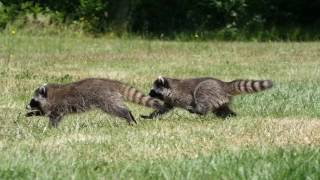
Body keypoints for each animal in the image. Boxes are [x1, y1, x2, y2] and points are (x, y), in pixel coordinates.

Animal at [26, 78, 164, 127]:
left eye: (33, 100)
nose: (26, 106)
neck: (49, 93)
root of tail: (110, 83)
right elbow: (46, 113)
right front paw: (34, 113)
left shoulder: (58, 105)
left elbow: (54, 117)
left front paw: (51, 128)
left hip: (106, 98)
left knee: (116, 109)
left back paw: (126, 114)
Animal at [141, 76, 274, 119]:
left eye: (153, 91)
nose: (149, 94)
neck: (171, 88)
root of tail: (223, 84)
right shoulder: (170, 100)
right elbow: (164, 109)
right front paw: (151, 116)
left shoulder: (181, 95)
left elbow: (188, 100)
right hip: (219, 98)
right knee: (222, 109)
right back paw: (230, 115)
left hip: (207, 90)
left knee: (201, 97)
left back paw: (199, 111)